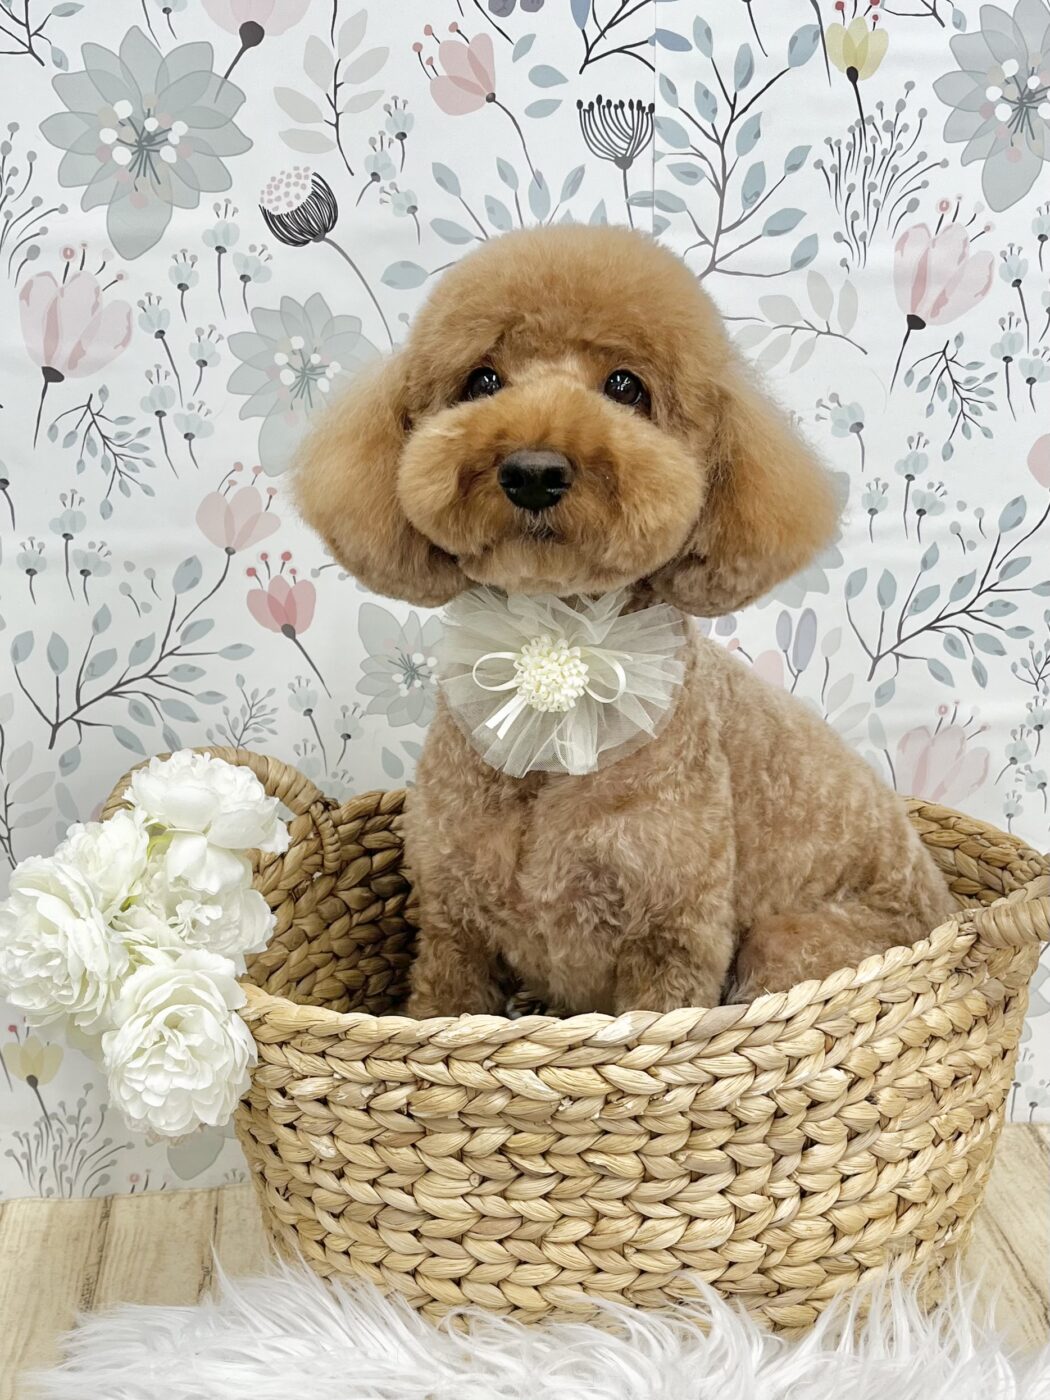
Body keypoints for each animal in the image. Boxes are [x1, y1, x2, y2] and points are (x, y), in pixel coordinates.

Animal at [296, 224, 954, 1016]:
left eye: (625, 387)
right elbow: (441, 1009)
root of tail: (950, 906)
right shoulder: (454, 924)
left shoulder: (671, 942)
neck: (559, 636)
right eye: (481, 381)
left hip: (786, 940)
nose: (534, 471)